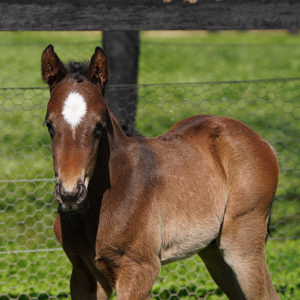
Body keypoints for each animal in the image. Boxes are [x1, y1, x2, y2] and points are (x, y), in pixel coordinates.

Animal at [41, 45, 278, 300]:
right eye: (49, 125)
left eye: (100, 125)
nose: (70, 194)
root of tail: (261, 140)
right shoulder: (83, 274)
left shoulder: (139, 270)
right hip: (213, 251)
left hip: (242, 245)